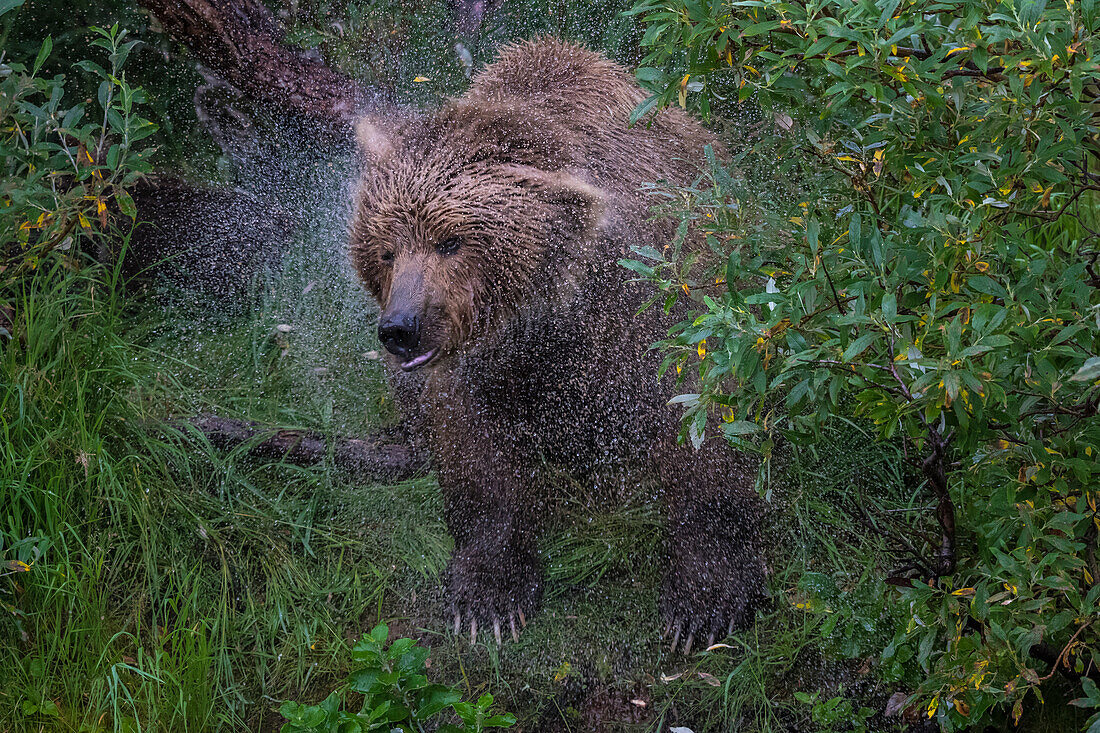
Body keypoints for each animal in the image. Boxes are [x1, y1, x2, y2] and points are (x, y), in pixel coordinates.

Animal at [349, 35, 765, 651]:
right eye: (384, 250)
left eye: (451, 241)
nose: (401, 327)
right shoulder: (477, 368)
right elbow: (476, 458)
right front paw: (489, 597)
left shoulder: (653, 306)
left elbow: (702, 424)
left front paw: (706, 602)